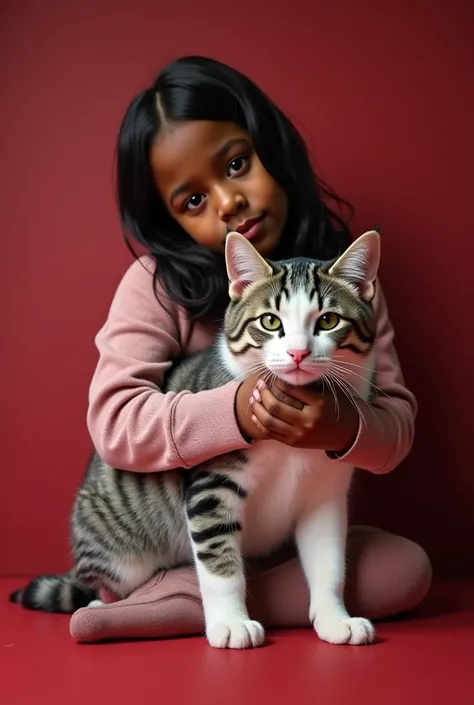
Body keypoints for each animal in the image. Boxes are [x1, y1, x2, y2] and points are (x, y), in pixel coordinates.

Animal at [10, 230, 382, 648]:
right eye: (270, 321)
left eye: (329, 320)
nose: (298, 352)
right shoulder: (212, 487)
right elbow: (220, 564)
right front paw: (232, 623)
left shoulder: (325, 496)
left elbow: (329, 563)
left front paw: (335, 618)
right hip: (120, 553)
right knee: (111, 583)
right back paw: (100, 608)